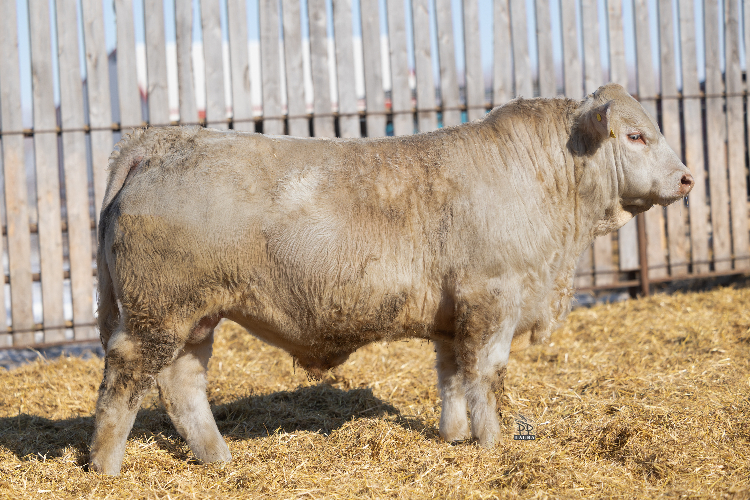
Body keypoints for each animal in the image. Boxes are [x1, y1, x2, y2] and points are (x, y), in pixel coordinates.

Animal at [89, 83, 693, 474]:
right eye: (636, 136)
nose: (687, 178)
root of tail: (155, 142)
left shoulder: (452, 315)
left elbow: (451, 377)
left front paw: (453, 436)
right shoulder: (492, 297)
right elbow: (486, 376)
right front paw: (493, 446)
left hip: (195, 317)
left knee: (183, 385)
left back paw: (218, 459)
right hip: (158, 312)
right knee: (125, 380)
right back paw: (105, 468)